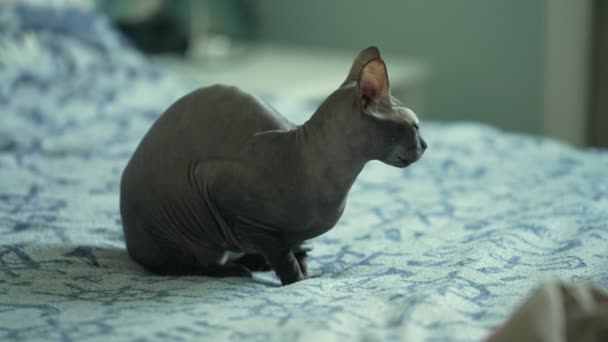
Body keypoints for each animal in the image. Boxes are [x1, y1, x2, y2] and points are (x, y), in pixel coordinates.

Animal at [120, 46, 428, 284]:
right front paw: (299, 280)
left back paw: (258, 261)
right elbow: (282, 256)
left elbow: (291, 249)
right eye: (414, 126)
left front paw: (302, 264)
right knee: (181, 267)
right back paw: (234, 269)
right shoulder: (221, 194)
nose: (425, 145)